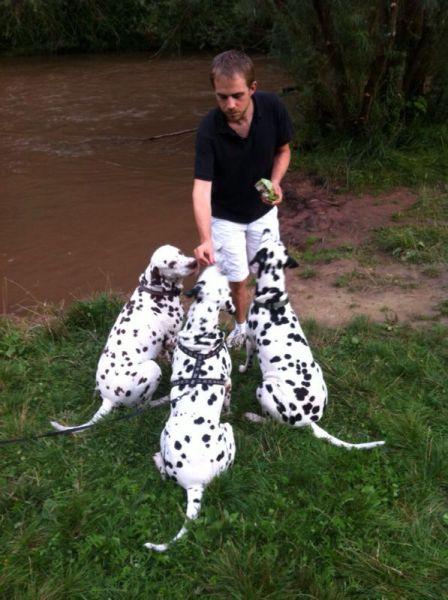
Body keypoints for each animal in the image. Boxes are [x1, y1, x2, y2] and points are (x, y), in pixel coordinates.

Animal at [50, 246, 197, 434]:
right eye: (171, 263)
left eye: (180, 253)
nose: (194, 262)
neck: (155, 292)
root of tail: (108, 399)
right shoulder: (172, 341)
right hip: (152, 369)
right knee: (142, 406)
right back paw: (161, 400)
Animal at [242, 232, 384, 452]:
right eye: (278, 242)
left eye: (267, 241)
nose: (266, 230)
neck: (273, 297)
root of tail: (308, 419)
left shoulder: (250, 339)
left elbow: (247, 359)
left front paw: (242, 368)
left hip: (264, 388)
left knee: (273, 424)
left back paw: (253, 417)